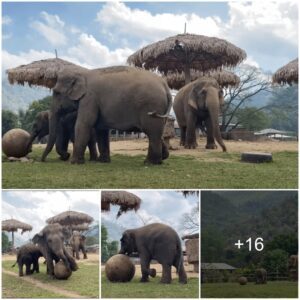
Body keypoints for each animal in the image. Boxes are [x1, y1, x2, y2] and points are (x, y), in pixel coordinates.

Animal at [40, 65, 171, 164]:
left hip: (152, 105)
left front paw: (74, 163)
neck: (83, 73)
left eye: (56, 93)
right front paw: (102, 161)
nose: (41, 160)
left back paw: (150, 163)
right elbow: (101, 129)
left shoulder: (89, 99)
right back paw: (161, 158)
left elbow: (83, 124)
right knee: (156, 133)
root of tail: (164, 85)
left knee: (152, 133)